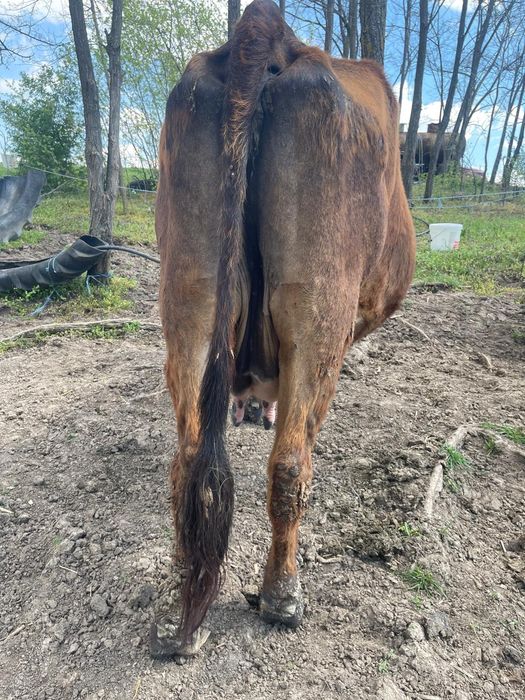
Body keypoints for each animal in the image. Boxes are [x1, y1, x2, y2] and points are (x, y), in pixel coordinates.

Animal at [151, 0, 415, 658]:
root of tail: (266, 36)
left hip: (189, 295)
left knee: (189, 461)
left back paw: (183, 610)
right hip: (319, 311)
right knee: (291, 463)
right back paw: (282, 596)